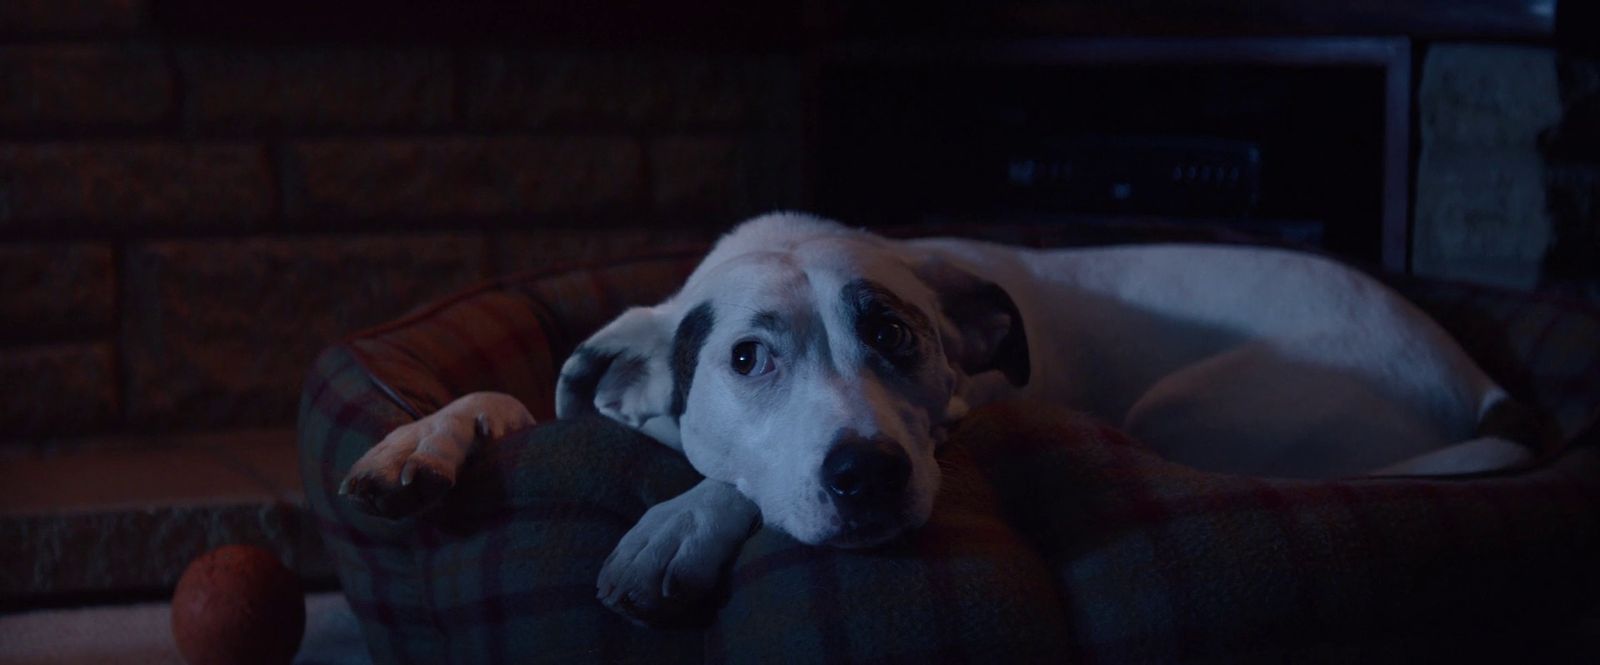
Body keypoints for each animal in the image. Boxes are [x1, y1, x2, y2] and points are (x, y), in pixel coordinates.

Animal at [340, 211, 1536, 623]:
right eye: (745, 358)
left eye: (896, 334)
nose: (866, 472)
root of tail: (1470, 371)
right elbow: (509, 399)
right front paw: (420, 436)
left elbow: (728, 480)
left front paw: (680, 519)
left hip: (1192, 406)